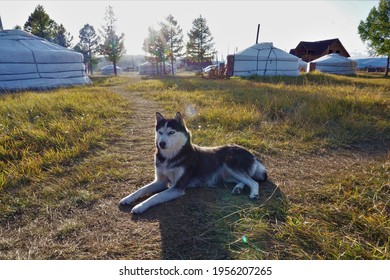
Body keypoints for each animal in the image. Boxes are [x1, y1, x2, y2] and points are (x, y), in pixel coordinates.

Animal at [119, 111, 266, 214]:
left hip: (230, 165)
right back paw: (238, 188)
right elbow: (141, 189)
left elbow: (155, 196)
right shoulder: (160, 181)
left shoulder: (177, 187)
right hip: (226, 175)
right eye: (160, 132)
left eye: (171, 132)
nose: (161, 143)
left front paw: (140, 206)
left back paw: (253, 193)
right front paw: (128, 198)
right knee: (243, 180)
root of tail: (251, 154)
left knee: (253, 182)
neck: (170, 157)